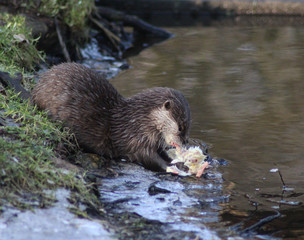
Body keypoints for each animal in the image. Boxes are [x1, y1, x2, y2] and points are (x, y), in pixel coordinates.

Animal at [32, 62, 191, 171]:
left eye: (187, 128)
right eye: (180, 127)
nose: (185, 142)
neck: (138, 119)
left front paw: (179, 161)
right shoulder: (135, 139)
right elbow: (149, 158)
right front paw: (173, 168)